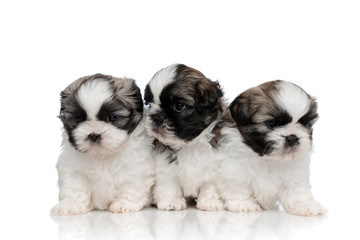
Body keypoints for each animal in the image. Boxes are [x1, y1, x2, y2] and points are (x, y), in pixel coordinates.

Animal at [50, 73, 153, 216]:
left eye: (112, 118)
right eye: (78, 119)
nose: (94, 134)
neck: (102, 155)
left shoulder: (136, 167)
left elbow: (131, 185)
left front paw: (124, 204)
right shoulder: (73, 170)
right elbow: (75, 189)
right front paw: (71, 205)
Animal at [143, 64, 225, 212]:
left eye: (179, 106)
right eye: (149, 104)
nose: (156, 116)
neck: (190, 145)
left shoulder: (215, 165)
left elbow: (210, 185)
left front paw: (210, 202)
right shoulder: (166, 165)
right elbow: (168, 183)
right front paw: (171, 202)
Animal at [217, 80, 326, 216]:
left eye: (305, 124)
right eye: (272, 123)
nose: (292, 137)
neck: (268, 159)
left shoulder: (295, 173)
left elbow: (297, 190)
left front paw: (304, 205)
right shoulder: (235, 168)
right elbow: (238, 186)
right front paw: (243, 204)